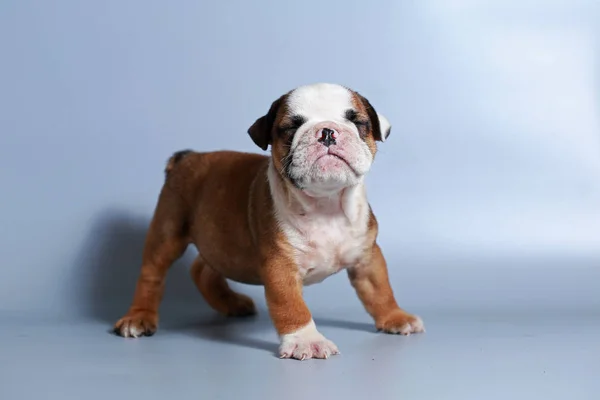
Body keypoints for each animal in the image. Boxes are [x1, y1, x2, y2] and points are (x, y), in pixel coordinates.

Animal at [111, 83, 422, 360]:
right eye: (291, 127)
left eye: (357, 122)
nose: (327, 131)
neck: (326, 204)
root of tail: (188, 157)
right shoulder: (280, 266)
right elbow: (292, 306)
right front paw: (306, 340)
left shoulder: (367, 257)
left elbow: (380, 290)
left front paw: (395, 317)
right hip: (168, 231)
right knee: (151, 274)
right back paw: (138, 318)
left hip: (221, 243)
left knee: (202, 268)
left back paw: (231, 303)